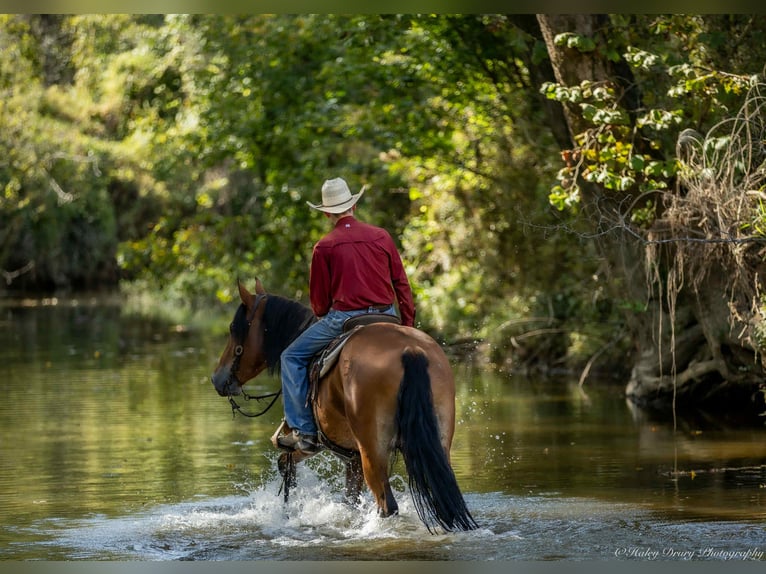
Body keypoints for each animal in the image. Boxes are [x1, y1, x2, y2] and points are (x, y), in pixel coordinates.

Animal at [211, 279, 477, 533]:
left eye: (234, 328)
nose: (217, 378)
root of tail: (411, 350)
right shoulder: (353, 459)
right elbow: (349, 499)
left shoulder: (317, 445)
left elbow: (285, 462)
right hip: (437, 444)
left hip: (373, 453)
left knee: (387, 505)